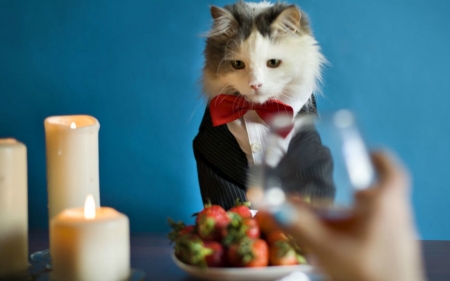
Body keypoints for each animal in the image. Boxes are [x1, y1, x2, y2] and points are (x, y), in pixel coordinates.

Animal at [193, 1, 334, 209]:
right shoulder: (210, 152)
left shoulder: (309, 148)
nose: (255, 84)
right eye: (237, 64)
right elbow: (230, 197)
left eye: (273, 63)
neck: (256, 109)